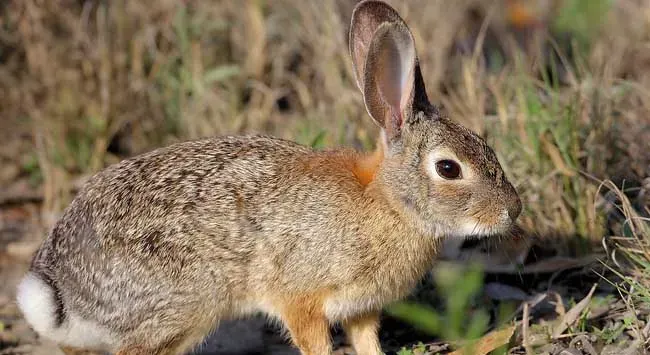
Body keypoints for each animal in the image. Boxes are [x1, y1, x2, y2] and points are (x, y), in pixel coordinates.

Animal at [16, 1, 520, 354]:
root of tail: (60, 289)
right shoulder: (300, 297)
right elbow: (314, 340)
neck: (389, 203)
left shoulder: (360, 310)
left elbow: (367, 342)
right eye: (449, 168)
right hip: (184, 305)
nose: (512, 211)